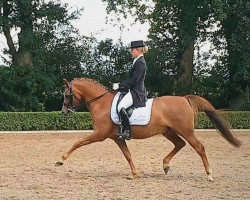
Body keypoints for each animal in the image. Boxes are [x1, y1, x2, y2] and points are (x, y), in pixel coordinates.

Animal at [55, 77, 241, 181]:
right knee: (180, 144)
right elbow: (127, 155)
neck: (101, 103)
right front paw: (133, 173)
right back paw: (165, 165)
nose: (63, 112)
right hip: (168, 131)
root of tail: (184, 99)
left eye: (67, 94)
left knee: (199, 147)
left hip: (186, 131)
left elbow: (78, 142)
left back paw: (209, 175)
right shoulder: (117, 138)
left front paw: (61, 160)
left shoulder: (99, 134)